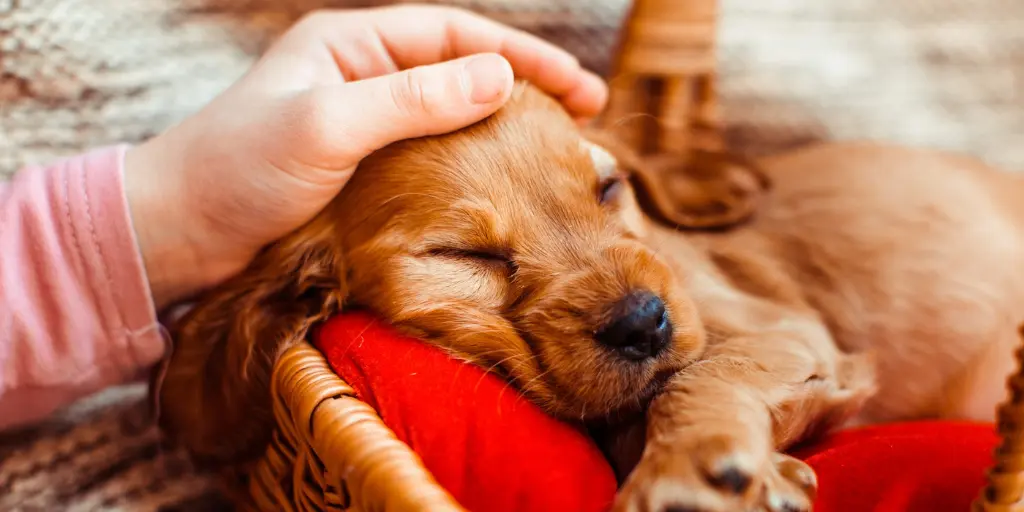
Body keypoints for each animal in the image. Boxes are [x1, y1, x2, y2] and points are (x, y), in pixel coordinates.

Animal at [153, 81, 1024, 509]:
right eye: (464, 254)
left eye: (609, 187)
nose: (646, 322)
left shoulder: (783, 328)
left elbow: (693, 377)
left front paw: (692, 470)